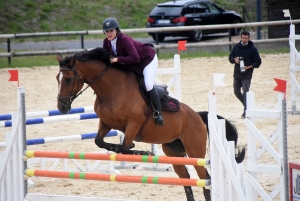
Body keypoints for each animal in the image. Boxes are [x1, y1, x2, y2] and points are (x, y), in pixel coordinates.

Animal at [55, 47, 245, 201]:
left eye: (68, 79)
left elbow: (125, 147)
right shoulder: (106, 122)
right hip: (174, 152)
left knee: (205, 177)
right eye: (58, 78)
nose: (62, 107)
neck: (112, 88)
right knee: (186, 179)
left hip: (194, 151)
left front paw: (142, 151)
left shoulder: (134, 123)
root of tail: (197, 116)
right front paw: (118, 148)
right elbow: (100, 141)